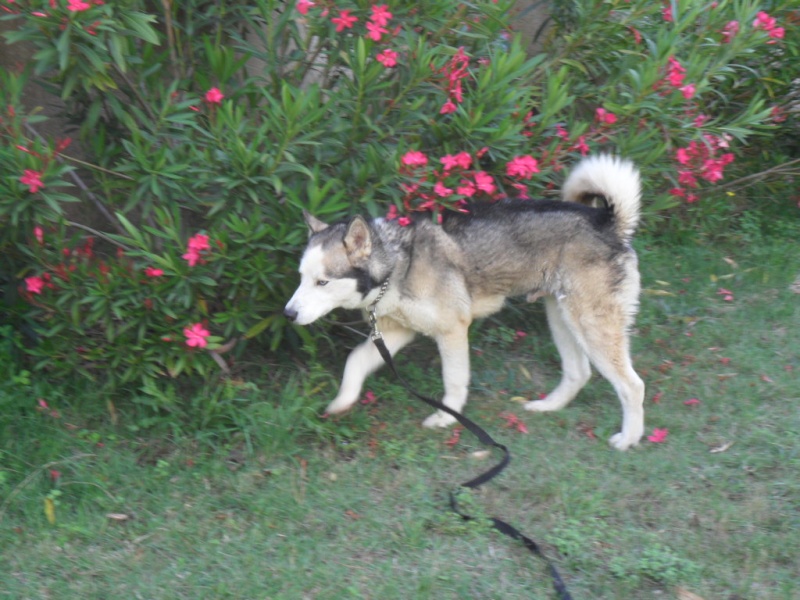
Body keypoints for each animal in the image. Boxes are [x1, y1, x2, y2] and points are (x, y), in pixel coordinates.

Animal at [284, 155, 648, 450]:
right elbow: (355, 361)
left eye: (322, 282)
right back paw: (548, 407)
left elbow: (454, 382)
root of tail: (608, 221)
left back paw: (629, 439)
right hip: (561, 317)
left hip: (590, 324)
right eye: (301, 277)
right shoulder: (395, 333)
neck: (399, 262)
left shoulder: (453, 330)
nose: (287, 314)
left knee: (633, 385)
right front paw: (343, 401)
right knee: (578, 372)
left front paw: (446, 419)